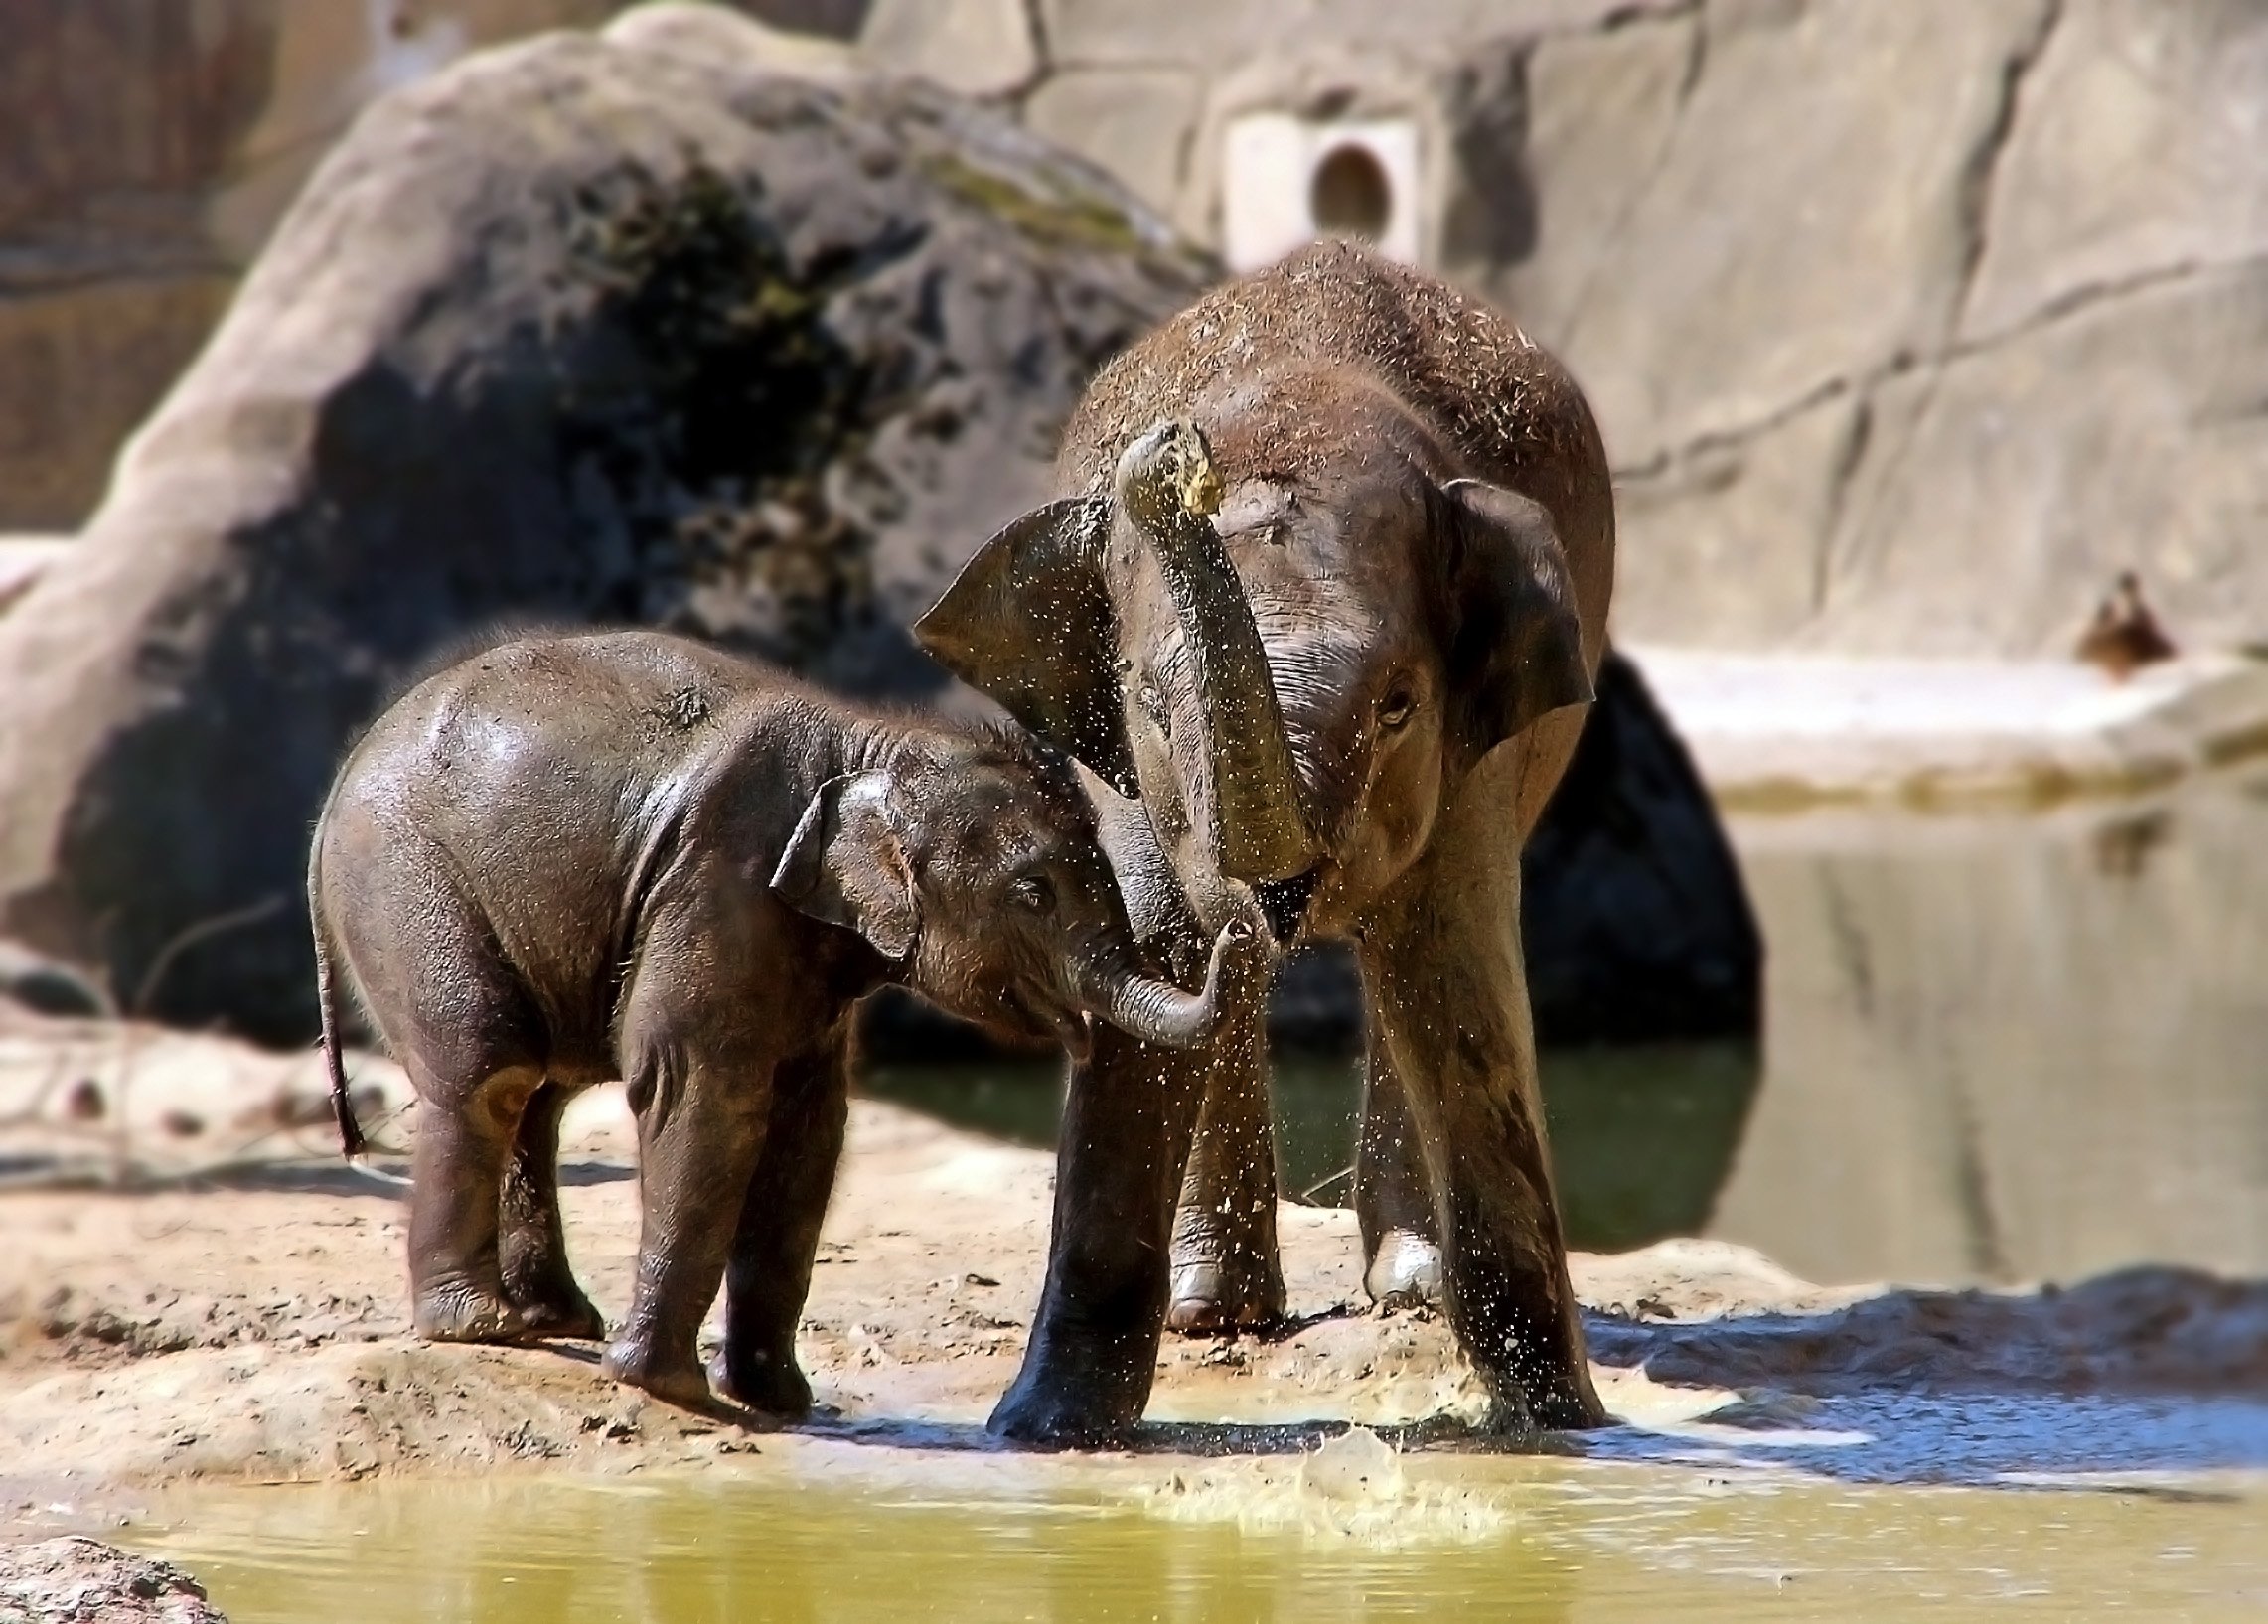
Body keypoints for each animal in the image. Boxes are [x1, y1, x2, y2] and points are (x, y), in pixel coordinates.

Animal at [310, 626, 1252, 1414]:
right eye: (1032, 893)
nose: (1241, 924)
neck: (870, 742)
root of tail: (333, 790)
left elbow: (810, 1127)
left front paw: (782, 1402)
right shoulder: (716, 876)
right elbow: (704, 1091)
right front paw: (668, 1387)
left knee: (538, 1094)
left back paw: (557, 1320)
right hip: (405, 881)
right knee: (491, 1071)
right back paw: (479, 1325)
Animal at [916, 243, 1614, 1442]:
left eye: (1396, 705)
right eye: (1151, 701)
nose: (1170, 458)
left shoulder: (1473, 745)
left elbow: (1454, 972)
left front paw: (1566, 1426)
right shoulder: (1121, 760)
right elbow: (1153, 956)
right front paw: (1042, 1433)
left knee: (1396, 973)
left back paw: (1408, 1288)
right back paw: (1215, 1311)